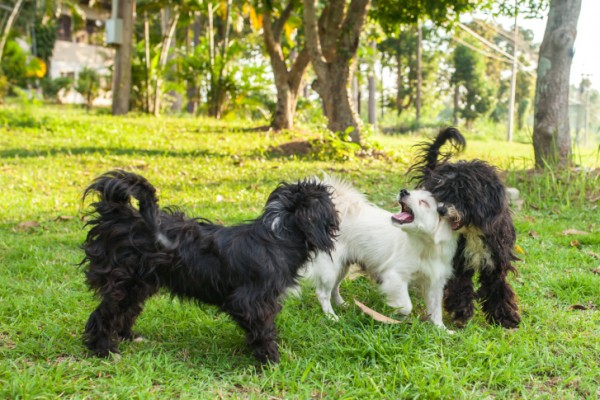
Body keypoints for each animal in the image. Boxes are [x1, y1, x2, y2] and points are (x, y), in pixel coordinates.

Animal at [81, 169, 340, 362]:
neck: (279, 235)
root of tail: (121, 215)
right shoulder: (250, 301)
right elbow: (264, 330)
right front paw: (270, 359)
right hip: (124, 283)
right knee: (104, 314)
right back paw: (104, 350)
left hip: (139, 284)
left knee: (126, 311)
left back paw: (127, 337)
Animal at [304, 177, 460, 330]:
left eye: (424, 203)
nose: (404, 191)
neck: (425, 247)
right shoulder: (395, 276)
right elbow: (407, 305)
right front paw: (396, 312)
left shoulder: (434, 284)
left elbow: (436, 310)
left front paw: (442, 329)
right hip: (329, 269)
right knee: (323, 293)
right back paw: (331, 316)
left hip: (342, 267)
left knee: (334, 288)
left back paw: (341, 305)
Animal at [412, 128, 520, 328]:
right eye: (440, 192)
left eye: (463, 193)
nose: (441, 210)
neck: (473, 232)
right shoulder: (458, 263)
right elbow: (460, 287)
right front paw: (461, 313)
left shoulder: (495, 262)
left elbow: (499, 289)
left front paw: (506, 318)